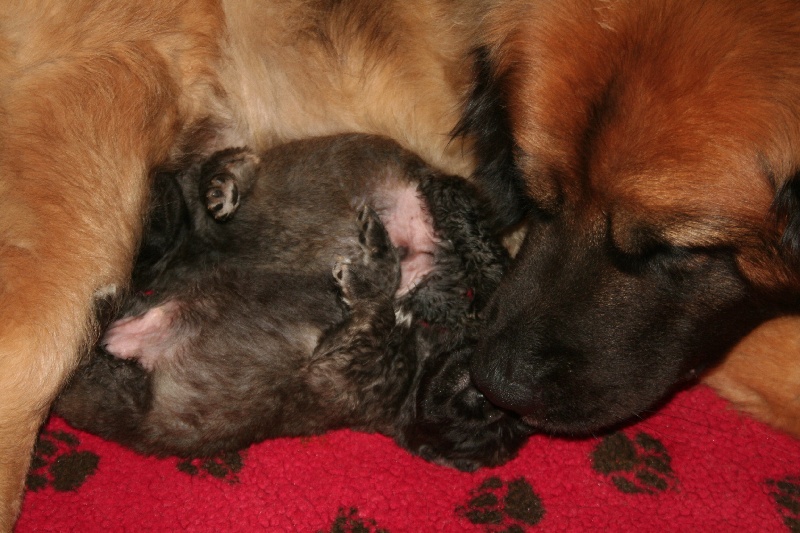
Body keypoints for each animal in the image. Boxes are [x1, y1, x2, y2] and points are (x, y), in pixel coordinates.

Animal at [56, 133, 532, 470]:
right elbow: (223, 164)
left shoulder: (344, 357)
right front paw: (223, 188)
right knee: (476, 244)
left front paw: (373, 264)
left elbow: (374, 304)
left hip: (115, 389)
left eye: (489, 422)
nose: (489, 395)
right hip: (443, 205)